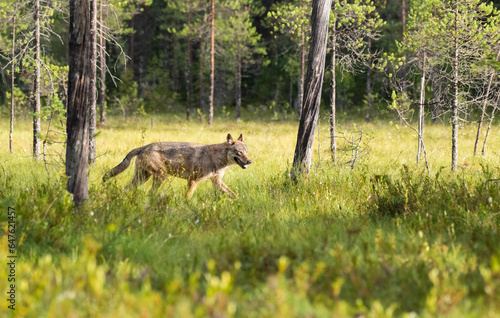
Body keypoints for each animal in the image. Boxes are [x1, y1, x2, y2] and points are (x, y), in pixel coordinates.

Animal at [102, 134, 252, 199]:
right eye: (240, 153)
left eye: (246, 152)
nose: (249, 161)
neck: (217, 158)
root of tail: (145, 146)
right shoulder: (192, 181)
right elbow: (188, 198)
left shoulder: (217, 183)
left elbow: (235, 195)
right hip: (160, 176)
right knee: (150, 193)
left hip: (142, 178)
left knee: (125, 189)